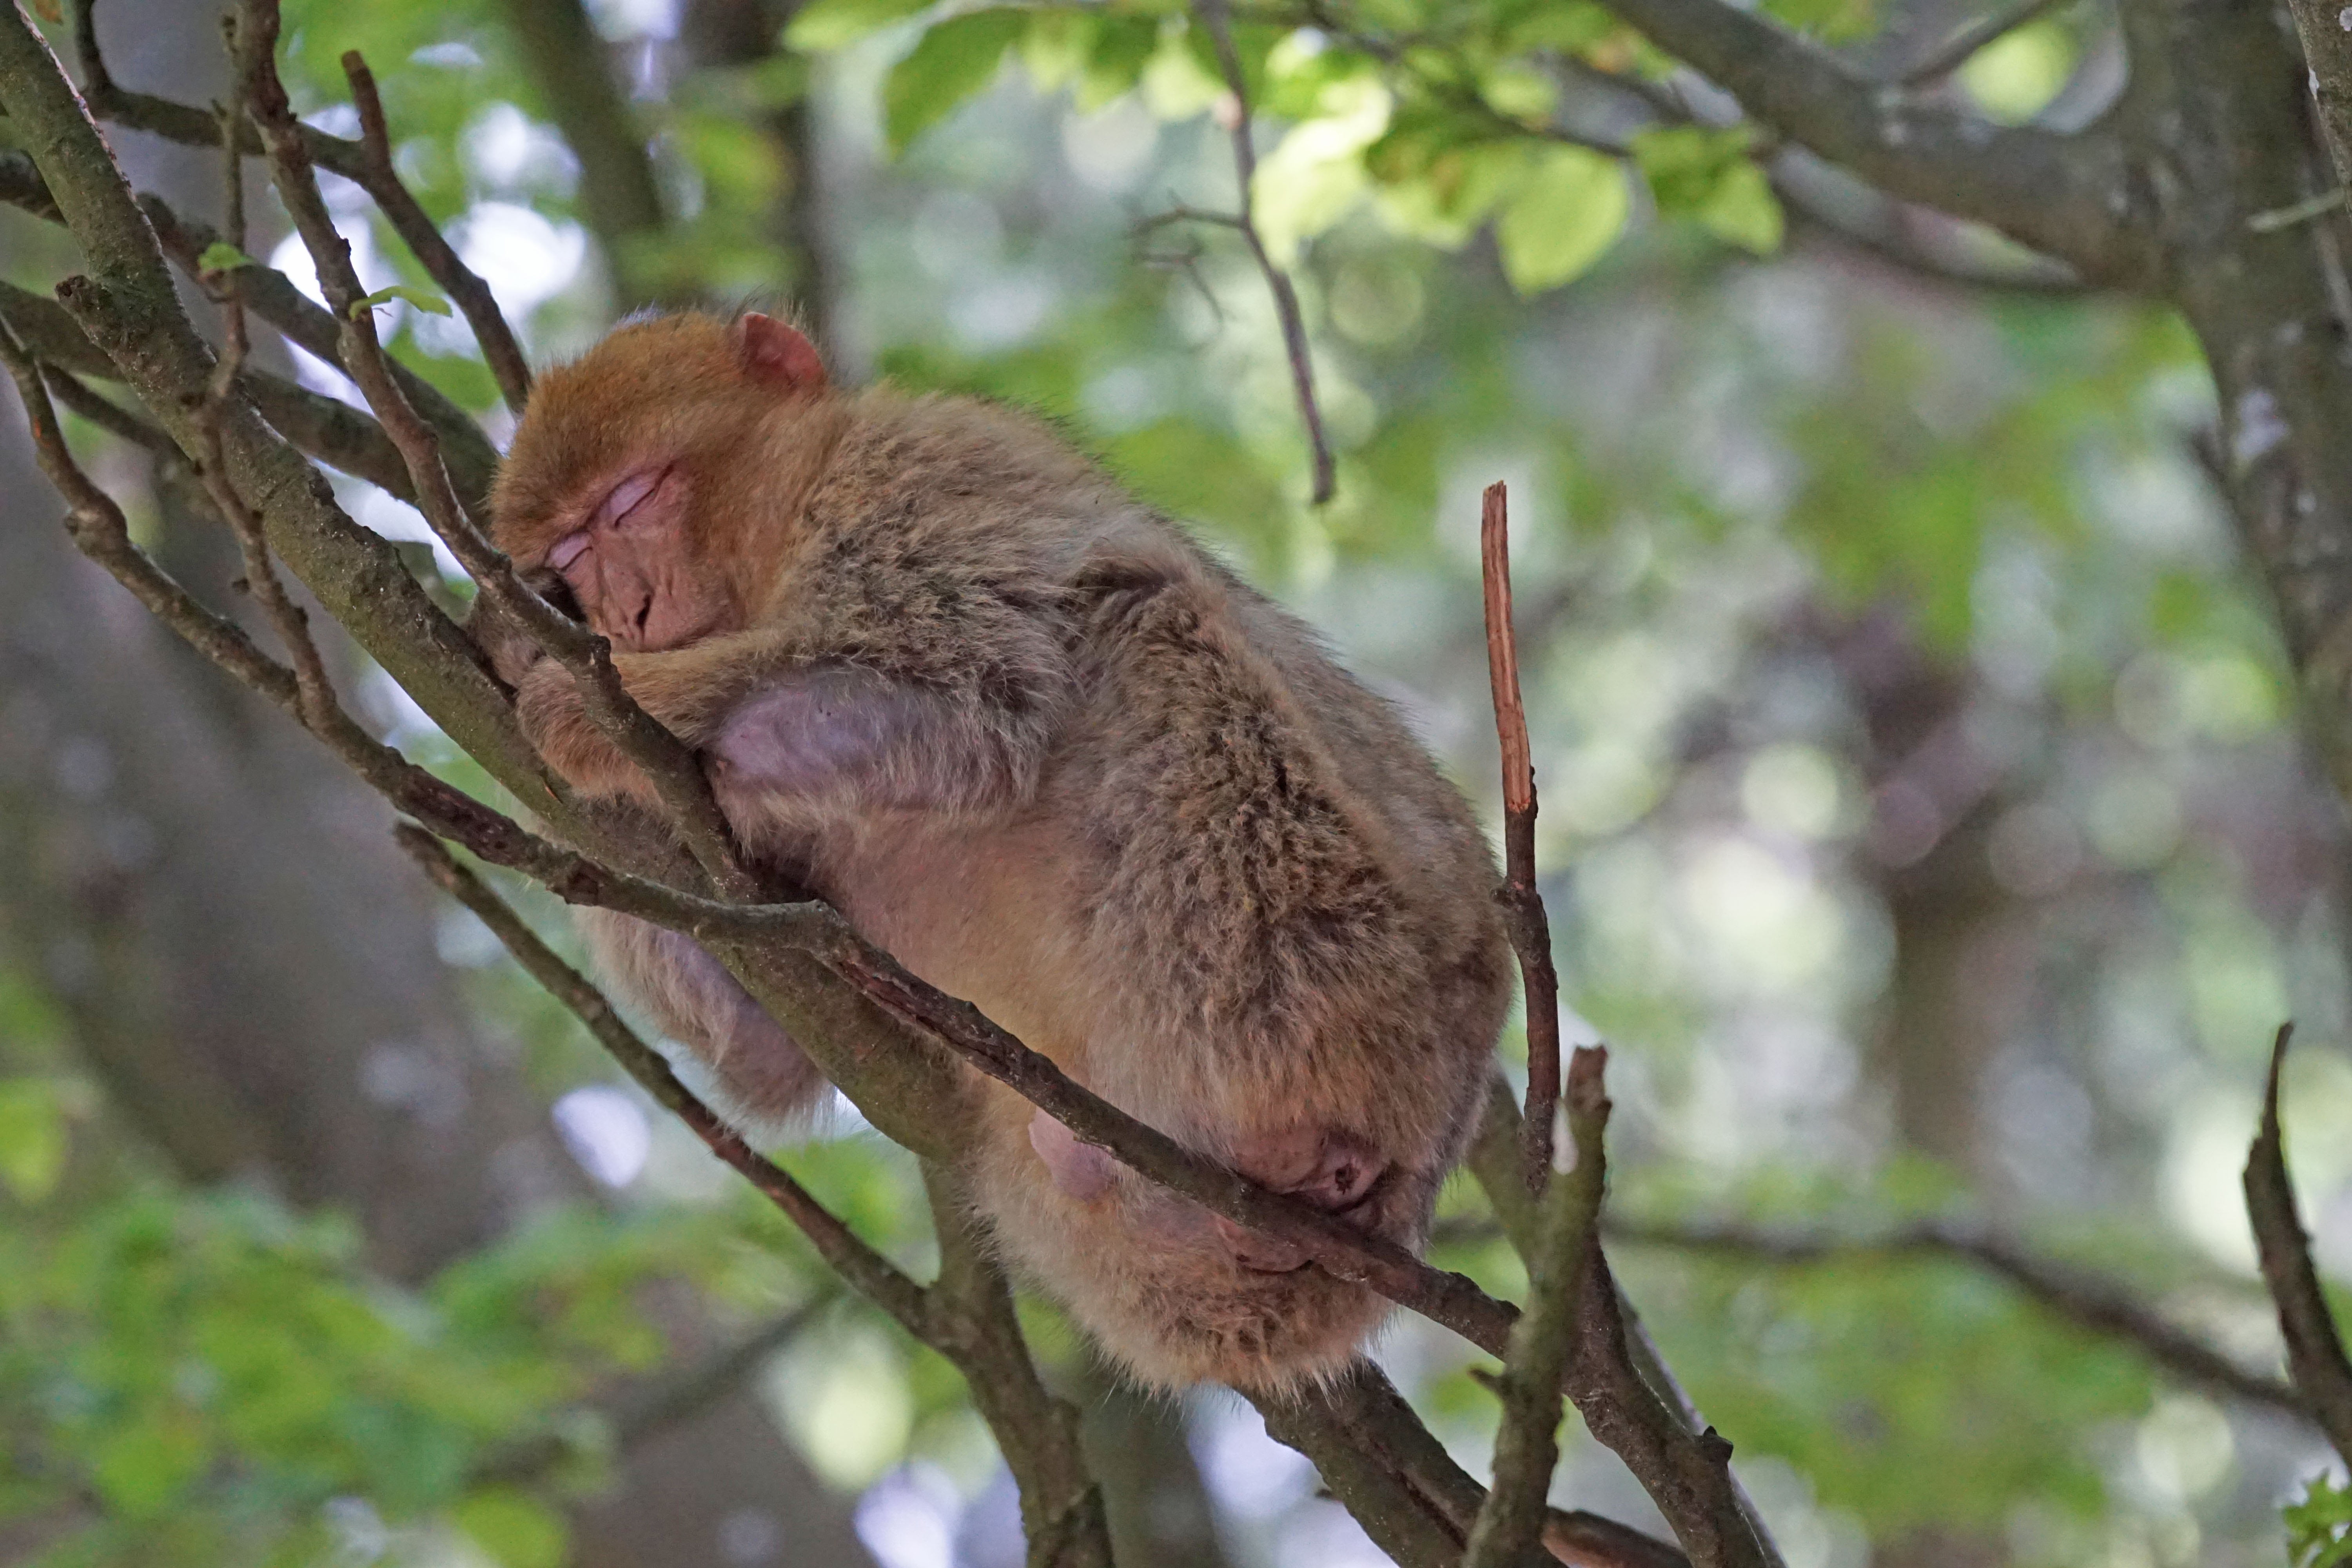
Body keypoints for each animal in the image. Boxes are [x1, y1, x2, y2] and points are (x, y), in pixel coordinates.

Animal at [478, 310, 1512, 1391]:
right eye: (571, 550)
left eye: (633, 499)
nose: (625, 612)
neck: (779, 532)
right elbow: (769, 1049)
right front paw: (510, 652)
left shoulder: (916, 477)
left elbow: (971, 697)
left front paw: (571, 699)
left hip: (1337, 959)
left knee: (1144, 620)